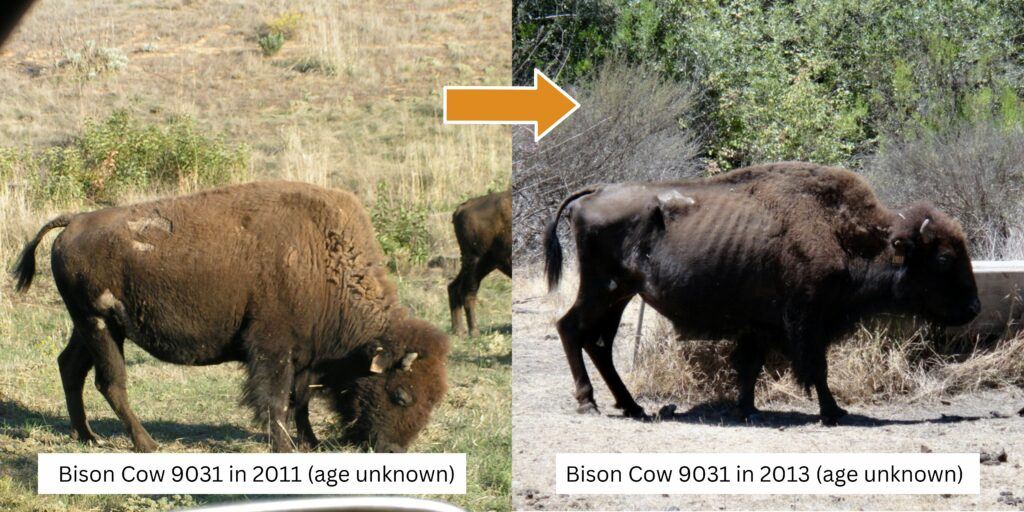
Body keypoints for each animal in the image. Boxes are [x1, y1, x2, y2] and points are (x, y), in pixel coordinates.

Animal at [12, 180, 448, 452]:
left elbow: (301, 399)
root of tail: (75, 221)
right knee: (110, 382)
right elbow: (277, 401)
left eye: (435, 398)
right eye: (401, 394)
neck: (322, 258)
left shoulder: (303, 354)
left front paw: (311, 442)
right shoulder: (272, 349)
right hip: (100, 325)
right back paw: (147, 444)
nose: (392, 449)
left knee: (70, 367)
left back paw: (88, 436)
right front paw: (285, 447)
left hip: (89, 326)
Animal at [448, 188, 512, 335]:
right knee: (467, 291)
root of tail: (462, 208)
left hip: (483, 263)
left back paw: (459, 331)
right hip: (476, 261)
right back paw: (474, 332)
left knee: (453, 287)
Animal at [548, 162, 978, 423]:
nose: (974, 307)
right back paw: (589, 402)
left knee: (599, 343)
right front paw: (833, 412)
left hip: (620, 294)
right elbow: (815, 368)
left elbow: (750, 365)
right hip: (602, 289)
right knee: (570, 328)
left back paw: (632, 406)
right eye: (943, 258)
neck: (844, 233)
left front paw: (747, 409)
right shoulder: (807, 321)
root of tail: (592, 193)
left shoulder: (762, 326)